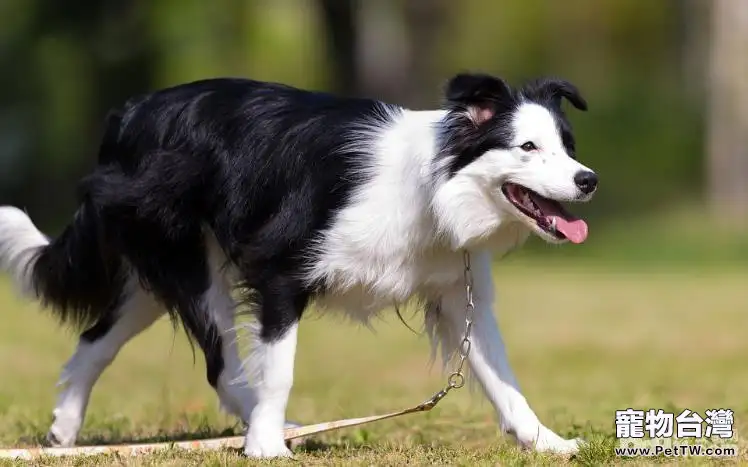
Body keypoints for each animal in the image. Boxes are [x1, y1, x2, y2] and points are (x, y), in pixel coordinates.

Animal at [0, 73, 596, 458]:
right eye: (526, 147)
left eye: (568, 146)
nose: (587, 179)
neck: (436, 188)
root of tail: (129, 114)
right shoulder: (281, 270)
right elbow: (280, 366)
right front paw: (265, 447)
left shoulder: (457, 293)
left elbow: (502, 376)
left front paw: (547, 441)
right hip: (191, 264)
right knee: (221, 365)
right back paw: (266, 430)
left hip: (159, 269)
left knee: (96, 339)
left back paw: (63, 430)